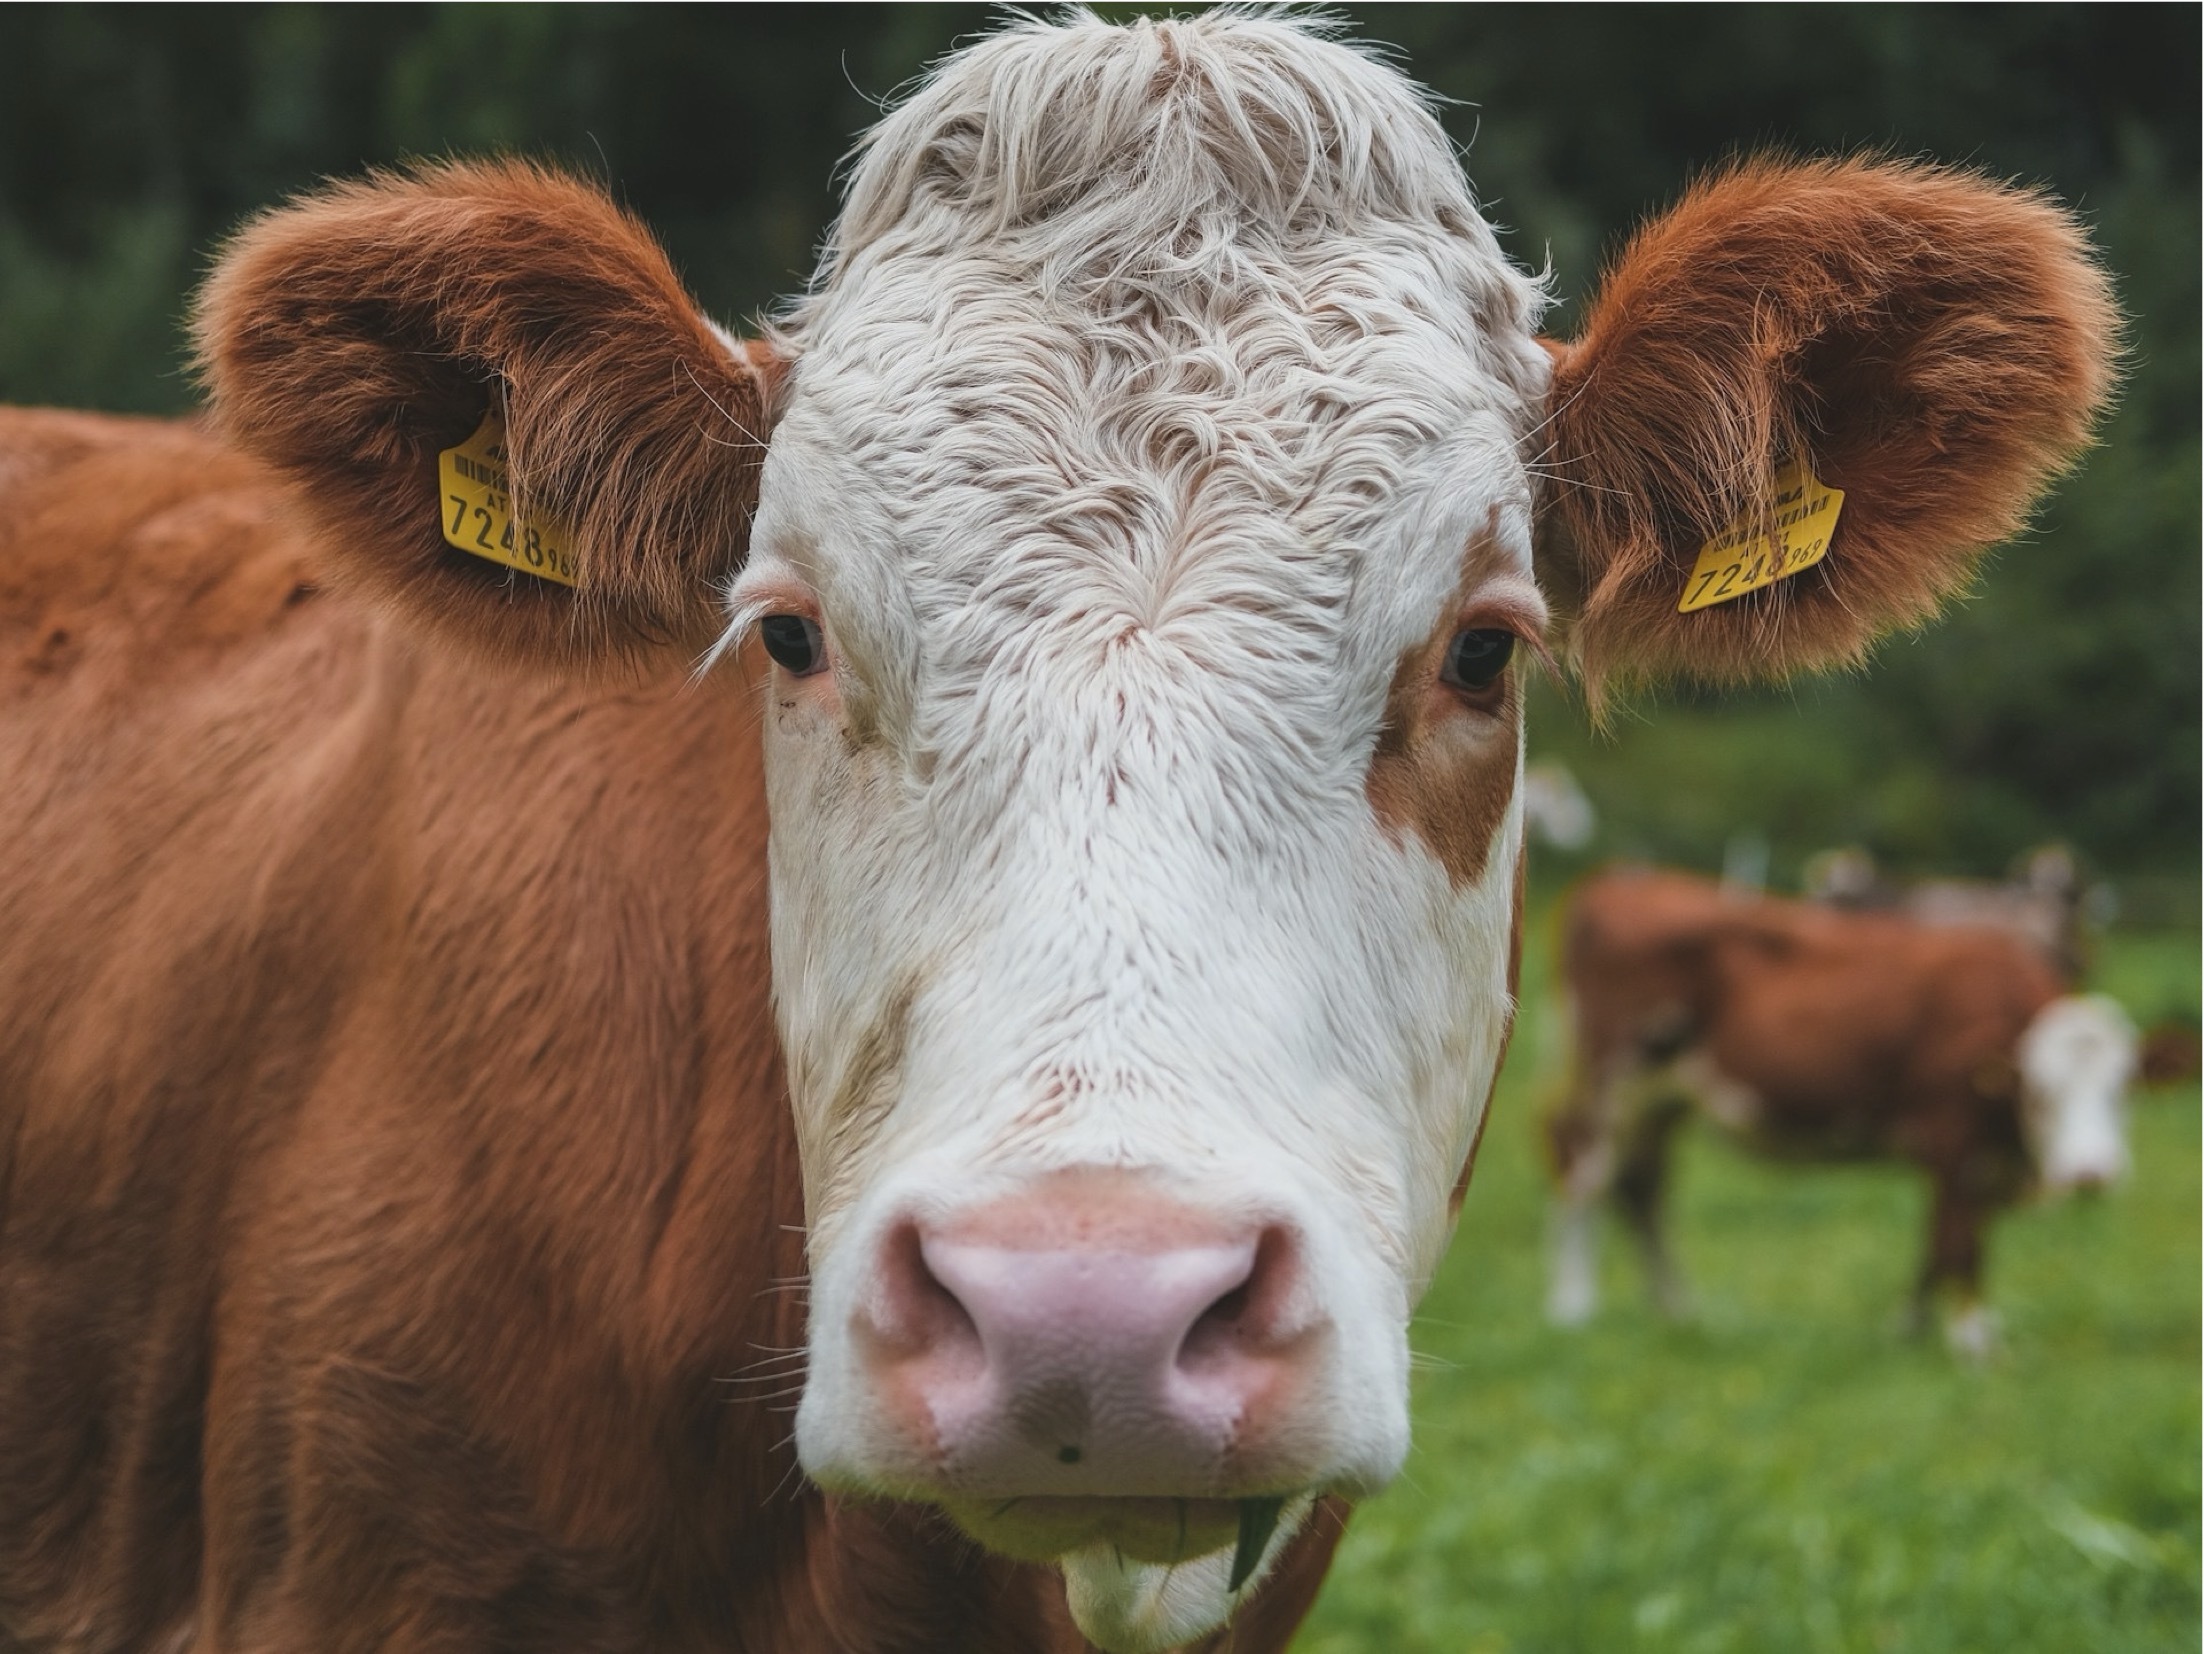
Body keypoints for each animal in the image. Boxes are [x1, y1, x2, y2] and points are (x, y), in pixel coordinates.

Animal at [1543, 869, 2139, 1357]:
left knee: (1640, 1189)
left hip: (1662, 1099)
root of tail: (1617, 882)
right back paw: (1573, 1308)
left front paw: (1910, 1326)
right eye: (2043, 1093)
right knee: (1582, 1173)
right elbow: (1958, 1240)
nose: (2092, 1173)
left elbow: (1939, 1241)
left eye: (2122, 1090)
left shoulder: (1979, 1152)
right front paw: (1974, 1344)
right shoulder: (1953, 1136)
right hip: (1611, 1081)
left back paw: (1678, 1311)